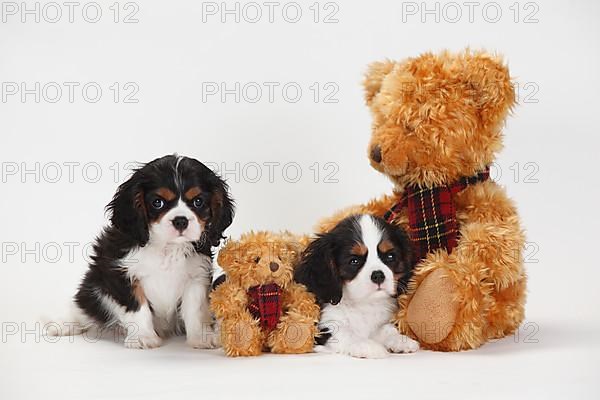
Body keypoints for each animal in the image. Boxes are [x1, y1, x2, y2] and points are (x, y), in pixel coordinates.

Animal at [47, 155, 233, 348]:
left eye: (198, 201)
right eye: (157, 203)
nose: (180, 220)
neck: (167, 247)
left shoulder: (196, 277)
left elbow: (195, 310)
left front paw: (201, 338)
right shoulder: (120, 274)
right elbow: (138, 308)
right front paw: (144, 337)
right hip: (95, 285)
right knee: (85, 307)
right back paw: (62, 324)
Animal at [294, 216, 418, 360]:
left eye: (390, 256)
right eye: (354, 261)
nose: (378, 275)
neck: (363, 303)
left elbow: (387, 329)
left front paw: (400, 340)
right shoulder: (326, 325)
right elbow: (345, 333)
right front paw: (368, 345)